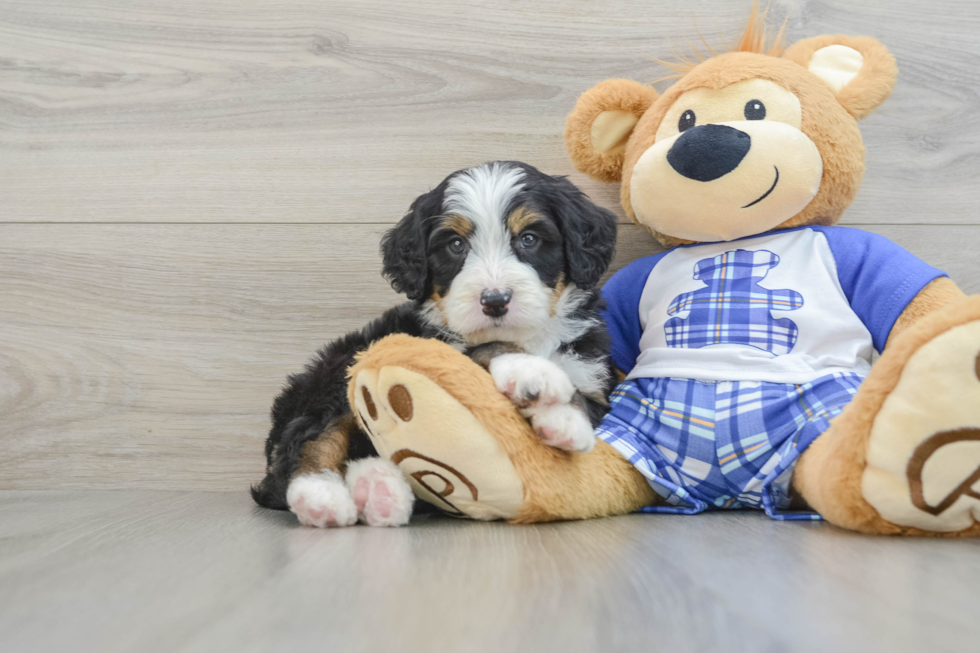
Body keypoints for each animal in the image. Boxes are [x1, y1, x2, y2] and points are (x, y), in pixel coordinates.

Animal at [253, 160, 620, 528]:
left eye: (529, 239)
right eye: (456, 245)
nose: (495, 301)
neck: (525, 335)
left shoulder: (594, 380)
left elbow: (582, 398)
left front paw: (563, 418)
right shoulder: (431, 351)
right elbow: (483, 349)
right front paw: (533, 373)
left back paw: (378, 489)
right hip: (346, 365)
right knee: (312, 436)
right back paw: (320, 495)